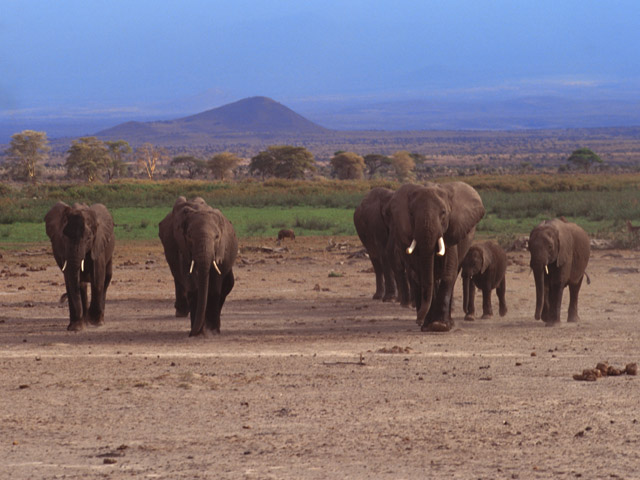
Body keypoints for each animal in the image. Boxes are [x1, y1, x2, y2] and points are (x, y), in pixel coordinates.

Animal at [45, 202, 115, 330]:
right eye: (64, 237)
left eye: (89, 238)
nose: (61, 299)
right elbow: (70, 279)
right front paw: (75, 328)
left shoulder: (98, 245)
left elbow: (97, 278)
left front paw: (94, 321)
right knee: (81, 285)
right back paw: (85, 322)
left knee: (106, 278)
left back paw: (98, 321)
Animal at [159, 197, 239, 336]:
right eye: (189, 236)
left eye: (217, 237)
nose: (190, 333)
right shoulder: (183, 247)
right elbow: (192, 284)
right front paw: (199, 332)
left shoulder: (221, 250)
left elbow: (215, 287)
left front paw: (212, 331)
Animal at [384, 182, 484, 332]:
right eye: (411, 214)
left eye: (443, 212)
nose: (418, 320)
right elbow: (421, 275)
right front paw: (429, 326)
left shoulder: (451, 232)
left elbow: (448, 272)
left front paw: (440, 326)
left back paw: (448, 323)